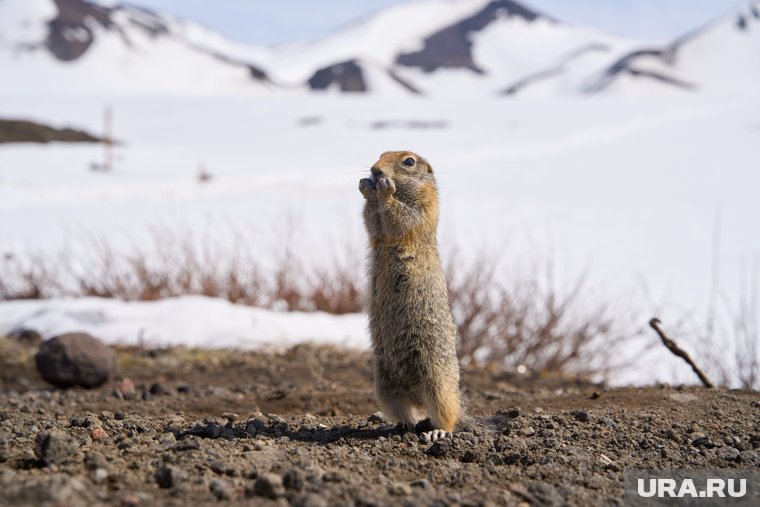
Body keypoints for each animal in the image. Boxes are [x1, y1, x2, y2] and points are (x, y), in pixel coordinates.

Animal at [358, 152, 472, 444]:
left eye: (408, 161)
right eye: (379, 154)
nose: (375, 170)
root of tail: (416, 396)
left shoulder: (426, 204)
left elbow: (403, 217)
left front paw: (384, 189)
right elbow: (373, 222)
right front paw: (366, 188)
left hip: (438, 382)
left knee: (446, 413)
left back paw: (438, 431)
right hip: (384, 386)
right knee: (404, 414)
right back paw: (398, 426)